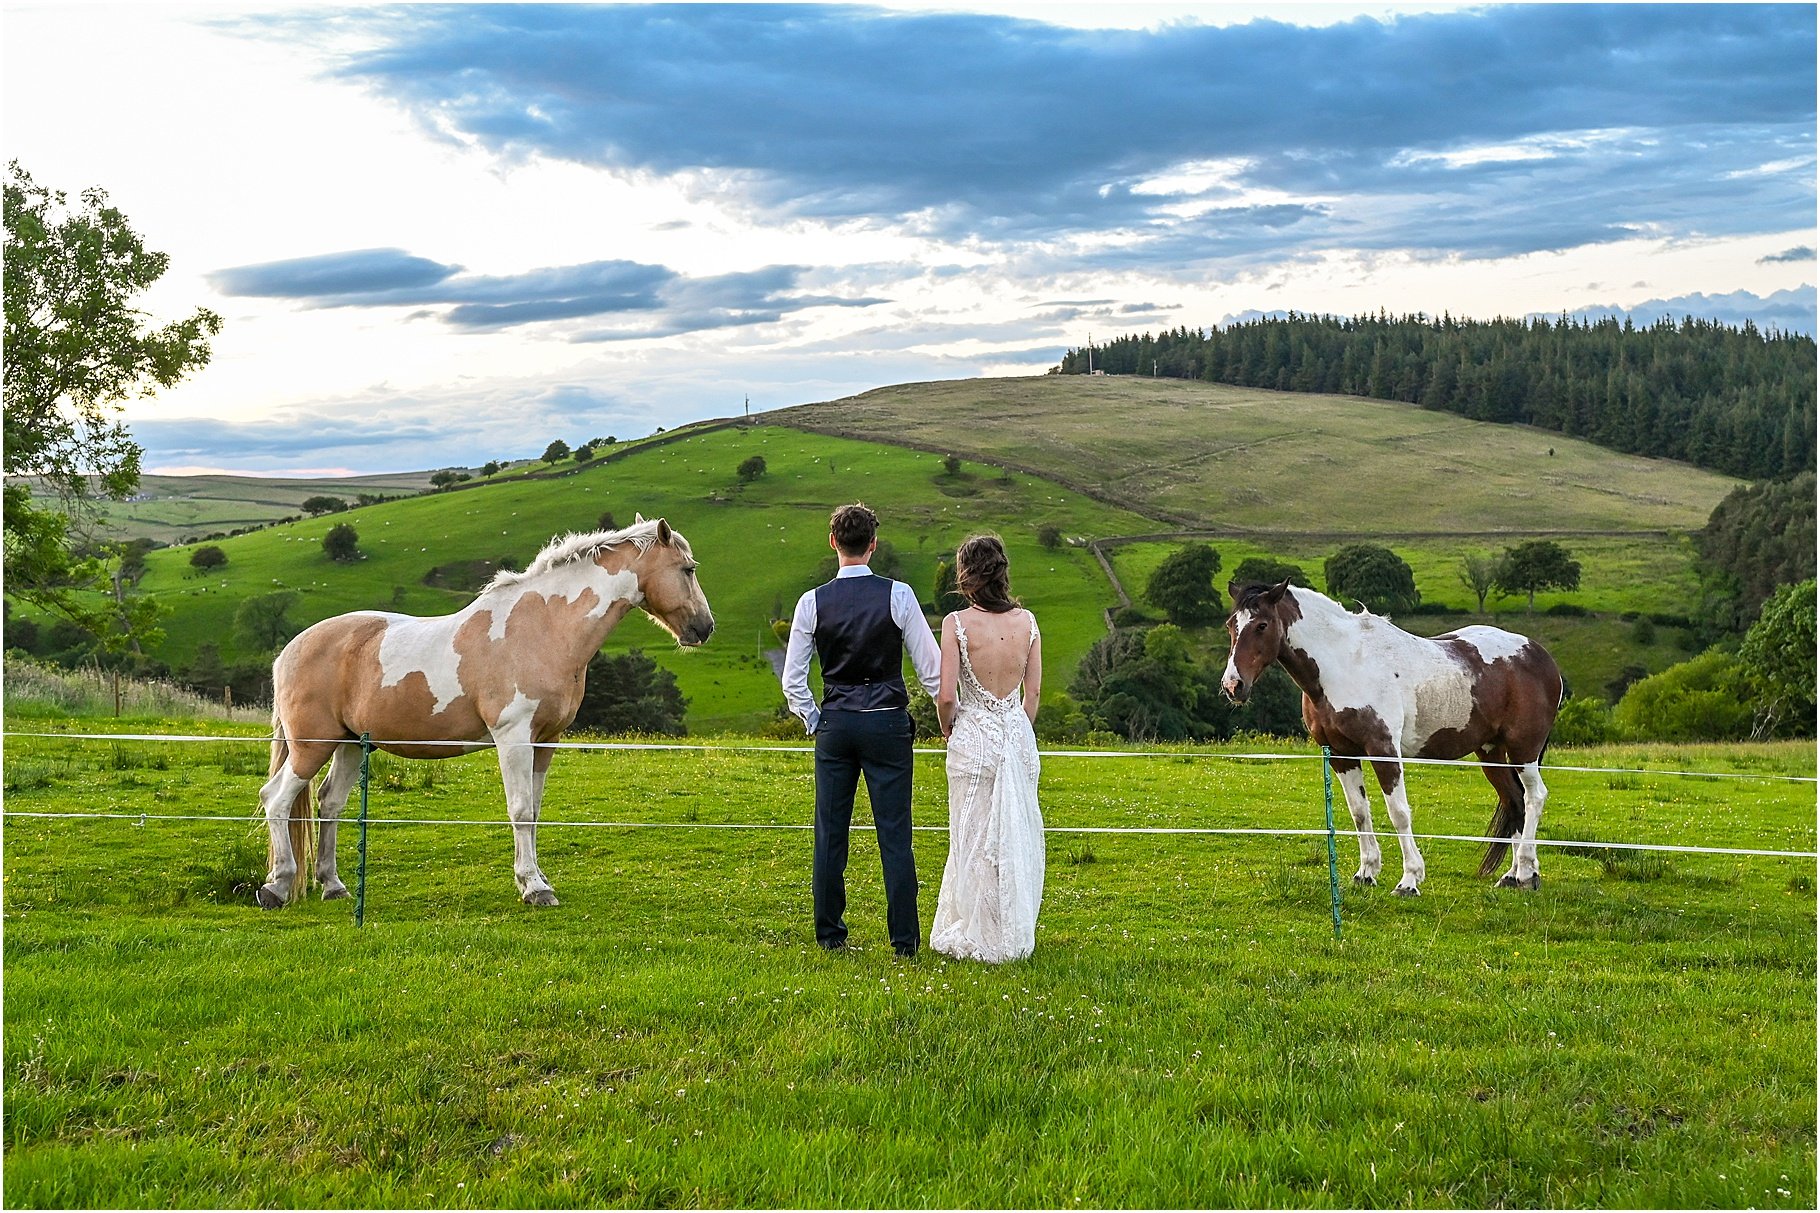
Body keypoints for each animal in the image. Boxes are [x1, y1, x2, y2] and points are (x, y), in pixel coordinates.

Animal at [256, 513, 709, 903]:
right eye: (688, 569)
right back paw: (276, 887)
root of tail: (289, 652)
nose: (704, 628)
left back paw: (333, 886)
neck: (542, 628)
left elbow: (535, 812)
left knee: (329, 804)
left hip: (349, 744)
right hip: (312, 745)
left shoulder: (546, 741)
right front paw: (534, 888)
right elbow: (520, 810)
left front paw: (536, 879)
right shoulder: (514, 738)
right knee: (275, 799)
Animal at [1223, 582, 1565, 892]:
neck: (1346, 663)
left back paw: (1527, 873)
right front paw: (1366, 873)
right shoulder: (1341, 754)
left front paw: (1409, 879)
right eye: (1230, 625)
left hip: (1523, 749)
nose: (1232, 685)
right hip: (1490, 751)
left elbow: (1398, 813)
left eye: (1262, 625)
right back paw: (1512, 876)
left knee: (1534, 797)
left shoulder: (1383, 749)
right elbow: (1359, 813)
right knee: (1514, 802)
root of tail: (1540, 655)